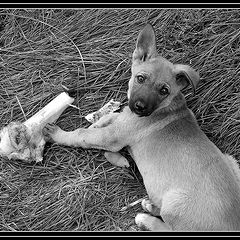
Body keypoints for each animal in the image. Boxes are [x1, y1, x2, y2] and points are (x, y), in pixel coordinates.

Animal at [43, 23, 240, 231]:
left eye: (164, 90)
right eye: (140, 78)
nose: (140, 107)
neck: (166, 106)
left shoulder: (112, 137)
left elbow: (81, 135)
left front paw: (57, 134)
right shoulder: (122, 122)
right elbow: (109, 118)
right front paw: (98, 123)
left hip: (175, 204)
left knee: (168, 228)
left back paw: (146, 219)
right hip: (231, 160)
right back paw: (151, 205)